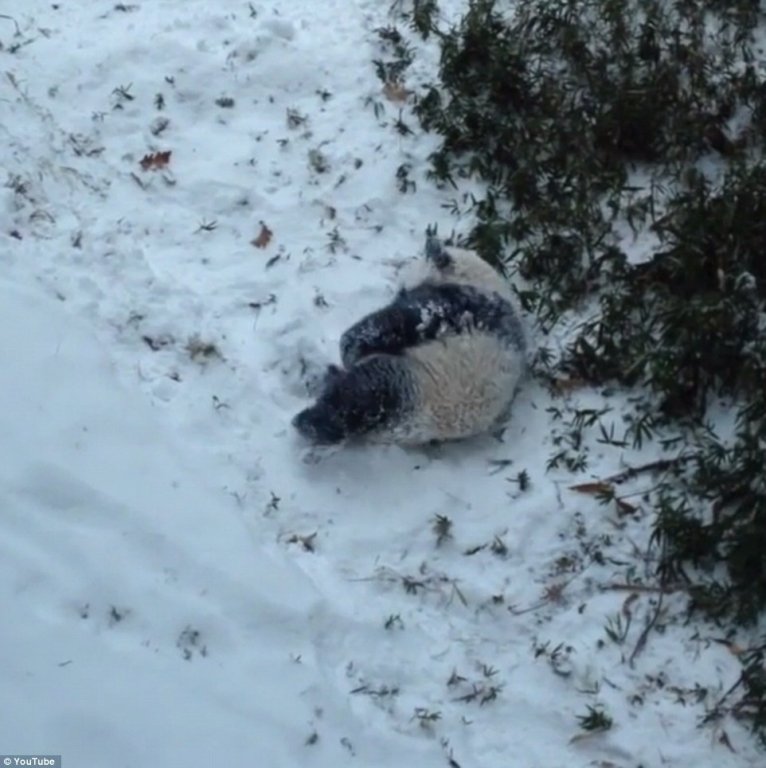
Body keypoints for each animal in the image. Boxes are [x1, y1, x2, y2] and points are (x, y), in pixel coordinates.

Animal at [292, 236, 527, 446]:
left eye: (403, 290)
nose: (397, 295)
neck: (479, 280)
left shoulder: (458, 305)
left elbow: (397, 323)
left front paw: (350, 348)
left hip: (404, 382)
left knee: (358, 395)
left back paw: (312, 420)